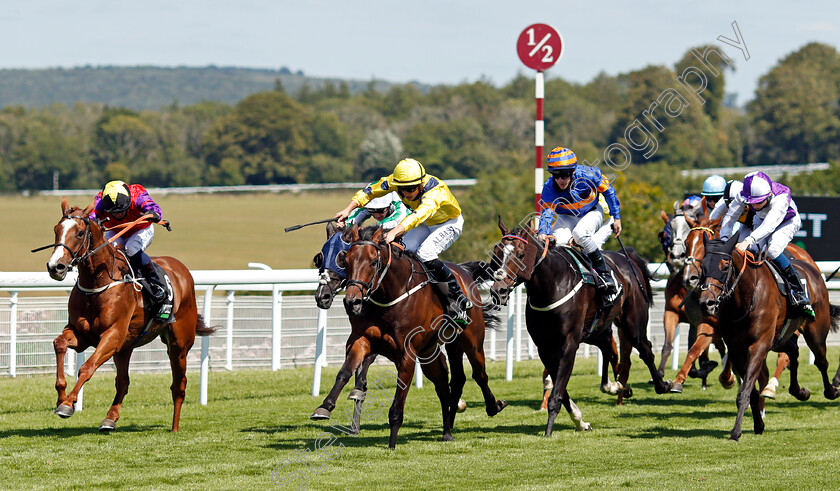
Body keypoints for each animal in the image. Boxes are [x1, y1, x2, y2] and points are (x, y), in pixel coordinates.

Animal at [42, 198, 213, 432]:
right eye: (56, 230)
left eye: (79, 233)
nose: (55, 267)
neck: (98, 282)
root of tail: (182, 270)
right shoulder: (82, 334)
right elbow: (59, 343)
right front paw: (61, 397)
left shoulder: (112, 335)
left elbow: (86, 368)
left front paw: (68, 404)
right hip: (125, 347)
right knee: (123, 382)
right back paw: (109, 419)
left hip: (179, 344)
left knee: (179, 385)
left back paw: (175, 427)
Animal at [310, 225, 502, 448]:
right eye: (346, 260)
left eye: (373, 262)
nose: (352, 302)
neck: (389, 295)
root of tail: (464, 272)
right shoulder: (362, 340)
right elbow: (345, 372)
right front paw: (325, 406)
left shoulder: (407, 354)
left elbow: (397, 401)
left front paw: (392, 445)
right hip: (434, 352)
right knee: (447, 385)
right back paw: (447, 431)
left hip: (472, 342)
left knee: (479, 375)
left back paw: (493, 406)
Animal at [488, 221, 672, 436]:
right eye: (496, 254)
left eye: (520, 254)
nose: (498, 290)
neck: (551, 286)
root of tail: (626, 258)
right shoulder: (544, 347)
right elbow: (560, 388)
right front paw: (580, 421)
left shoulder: (569, 343)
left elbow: (558, 391)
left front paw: (548, 431)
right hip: (595, 329)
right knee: (608, 348)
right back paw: (615, 386)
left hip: (632, 323)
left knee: (646, 350)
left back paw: (663, 385)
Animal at [688, 234, 840, 442]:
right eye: (703, 266)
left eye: (725, 266)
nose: (706, 303)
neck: (744, 299)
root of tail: (813, 269)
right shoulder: (737, 349)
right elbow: (750, 391)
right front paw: (758, 425)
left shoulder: (758, 345)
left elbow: (745, 391)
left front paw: (735, 432)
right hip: (780, 339)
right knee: (794, 351)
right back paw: (799, 391)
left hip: (815, 332)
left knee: (821, 362)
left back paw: (831, 390)